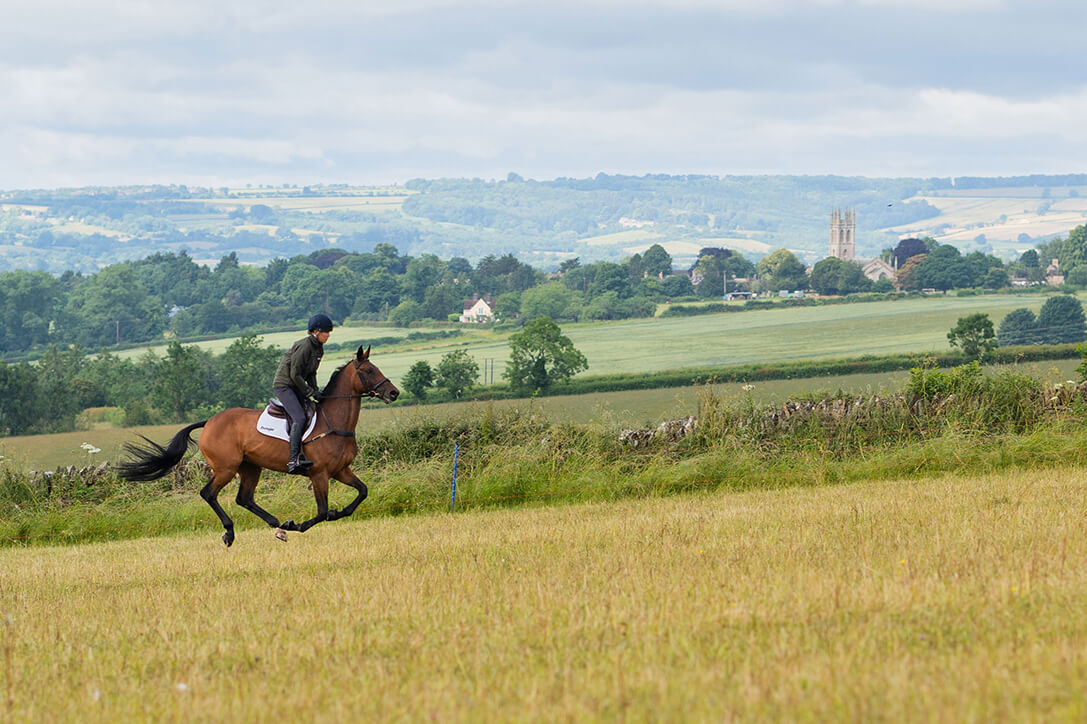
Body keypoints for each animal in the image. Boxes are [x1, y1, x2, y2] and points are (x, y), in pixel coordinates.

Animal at [119, 343, 400, 541]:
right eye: (368, 370)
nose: (394, 392)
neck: (335, 422)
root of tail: (209, 422)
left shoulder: (341, 470)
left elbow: (361, 493)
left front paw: (336, 513)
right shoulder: (319, 474)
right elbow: (321, 511)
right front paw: (300, 524)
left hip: (251, 467)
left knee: (244, 498)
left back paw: (278, 525)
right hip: (226, 468)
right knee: (209, 493)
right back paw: (232, 532)